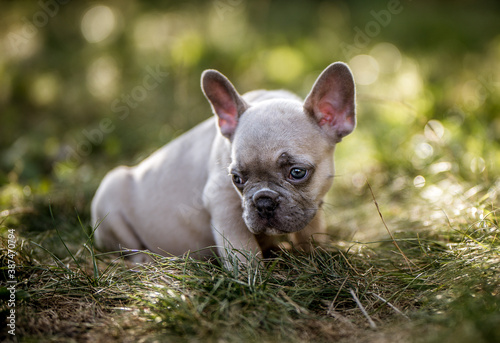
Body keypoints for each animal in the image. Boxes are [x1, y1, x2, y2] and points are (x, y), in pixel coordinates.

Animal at [91, 62, 356, 266]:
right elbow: (243, 249)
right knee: (126, 249)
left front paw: (315, 256)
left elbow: (311, 229)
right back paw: (144, 260)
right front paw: (252, 282)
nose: (263, 201)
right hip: (110, 198)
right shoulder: (223, 204)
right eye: (237, 179)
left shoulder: (313, 204)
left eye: (297, 173)